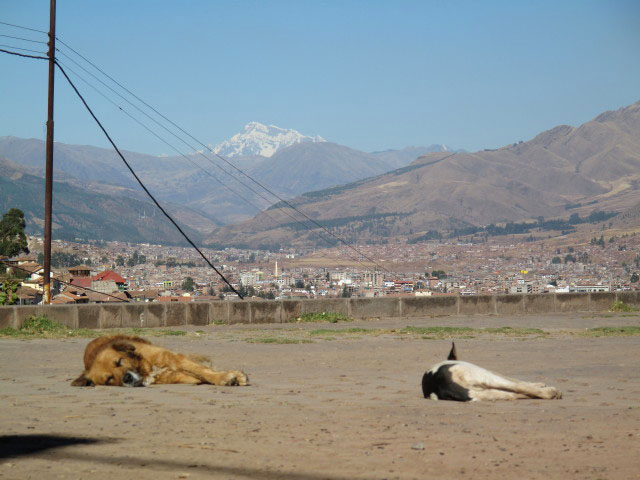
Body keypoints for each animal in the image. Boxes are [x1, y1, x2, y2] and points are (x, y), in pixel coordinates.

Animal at [71, 336, 248, 388]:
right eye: (109, 378)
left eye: (119, 361)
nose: (127, 378)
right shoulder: (174, 376)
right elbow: (197, 376)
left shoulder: (171, 358)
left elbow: (202, 370)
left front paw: (225, 377)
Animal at [422, 342, 564, 402]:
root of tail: (439, 384)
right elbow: (516, 381)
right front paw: (540, 385)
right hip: (482, 375)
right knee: (515, 387)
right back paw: (551, 392)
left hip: (482, 392)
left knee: (513, 393)